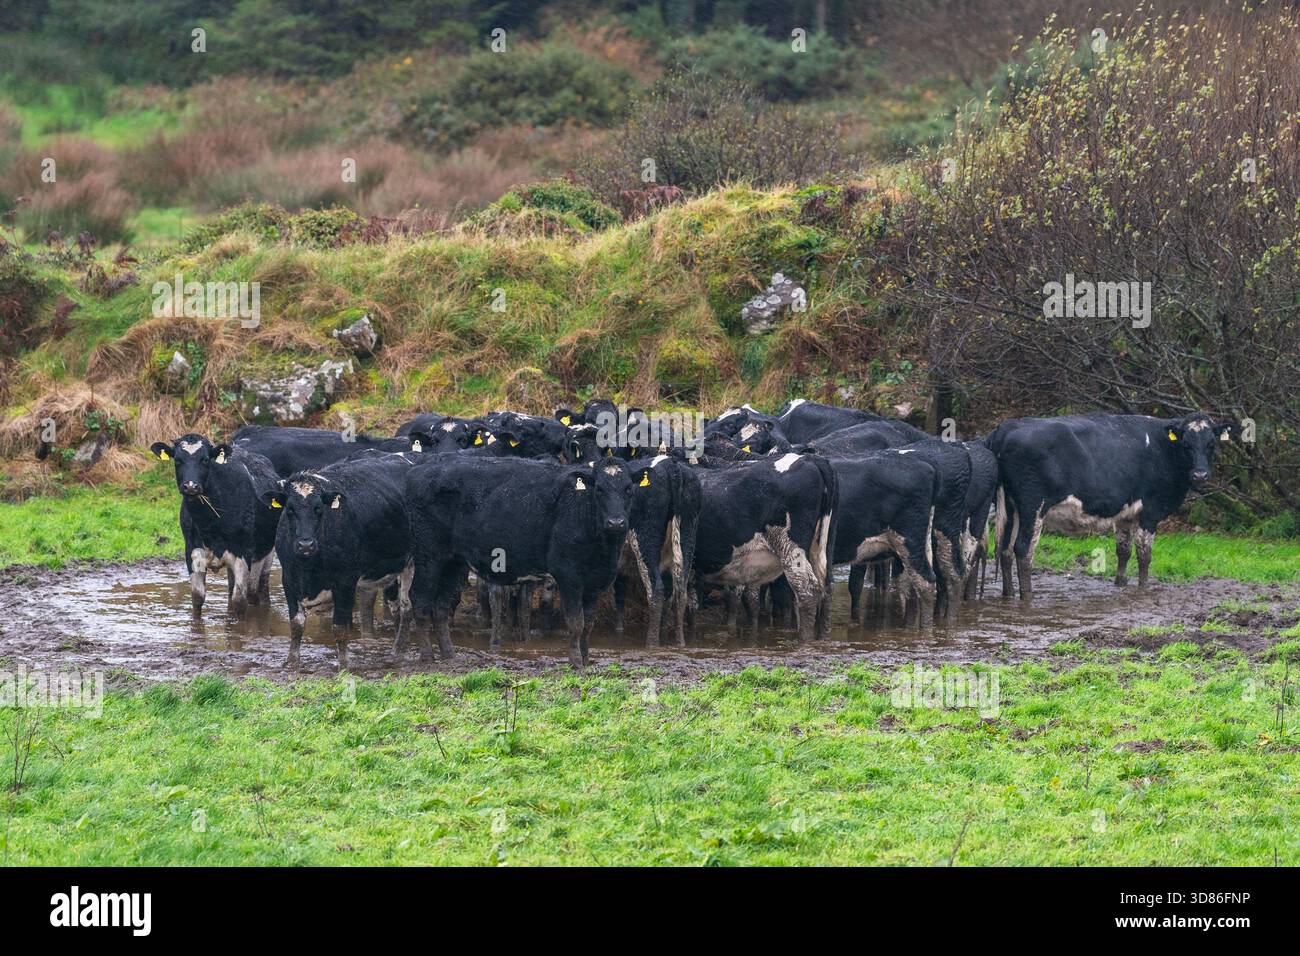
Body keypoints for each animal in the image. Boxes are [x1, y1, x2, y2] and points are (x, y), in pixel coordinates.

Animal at [150, 434, 281, 618]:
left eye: (205, 460)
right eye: (178, 460)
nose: (190, 486)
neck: (210, 524)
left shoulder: (243, 552)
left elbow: (240, 600)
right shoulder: (192, 550)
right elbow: (198, 597)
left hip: (266, 553)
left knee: (257, 592)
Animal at [262, 450, 422, 668]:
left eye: (319, 509)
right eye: (289, 510)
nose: (305, 545)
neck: (309, 569)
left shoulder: (345, 581)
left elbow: (339, 627)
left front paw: (344, 663)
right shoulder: (289, 579)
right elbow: (296, 623)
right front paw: (292, 660)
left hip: (411, 563)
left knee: (406, 608)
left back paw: (398, 652)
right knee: (397, 608)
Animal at [404, 457, 634, 667]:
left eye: (629, 488)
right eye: (600, 489)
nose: (616, 522)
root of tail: (418, 471)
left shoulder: (594, 582)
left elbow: (588, 623)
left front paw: (586, 659)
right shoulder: (569, 575)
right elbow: (576, 622)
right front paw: (575, 661)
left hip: (452, 562)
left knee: (441, 606)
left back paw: (449, 655)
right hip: (428, 556)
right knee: (420, 599)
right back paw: (427, 656)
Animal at [690, 452, 837, 642]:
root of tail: (808, 458)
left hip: (791, 548)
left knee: (808, 591)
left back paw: (805, 641)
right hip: (821, 547)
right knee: (827, 587)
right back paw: (823, 638)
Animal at [987, 412, 1232, 600]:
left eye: (1211, 444)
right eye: (1185, 444)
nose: (1200, 474)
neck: (1163, 449)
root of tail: (1007, 426)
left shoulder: (1125, 512)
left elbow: (1123, 550)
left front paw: (1120, 584)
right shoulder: (1150, 511)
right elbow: (1145, 554)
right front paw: (1143, 588)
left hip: (1011, 508)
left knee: (1004, 549)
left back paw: (1008, 594)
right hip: (1033, 506)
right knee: (1022, 549)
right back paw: (1027, 596)